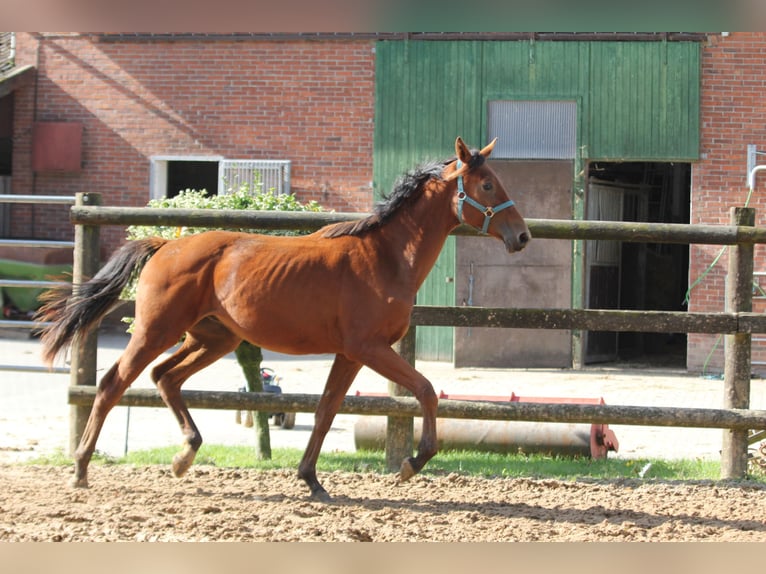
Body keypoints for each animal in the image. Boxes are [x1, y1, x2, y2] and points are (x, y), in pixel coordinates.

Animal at [36, 137, 528, 502]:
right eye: (487, 185)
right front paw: (411, 464)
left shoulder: (350, 355)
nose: (521, 236)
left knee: (165, 377)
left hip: (212, 339)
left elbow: (327, 410)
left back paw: (183, 456)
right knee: (113, 383)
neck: (385, 258)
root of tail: (165, 245)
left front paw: (311, 480)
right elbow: (425, 390)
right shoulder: (370, 348)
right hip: (158, 331)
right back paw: (81, 469)